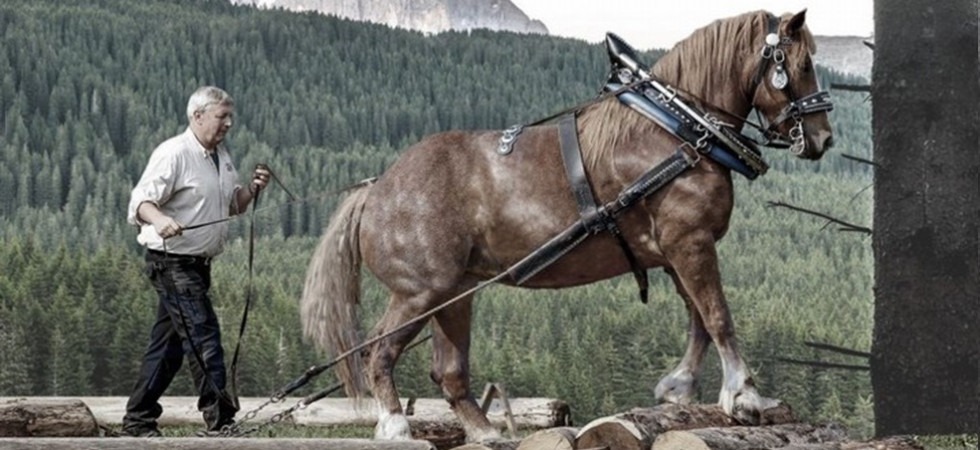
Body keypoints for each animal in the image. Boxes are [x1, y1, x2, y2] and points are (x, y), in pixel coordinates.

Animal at [301, 9, 833, 442]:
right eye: (803, 65)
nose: (824, 138)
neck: (678, 131)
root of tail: (377, 188)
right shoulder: (690, 242)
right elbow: (719, 316)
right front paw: (744, 397)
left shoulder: (678, 251)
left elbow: (699, 319)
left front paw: (678, 387)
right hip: (419, 292)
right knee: (377, 352)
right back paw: (395, 425)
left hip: (456, 294)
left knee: (448, 372)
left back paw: (486, 432)